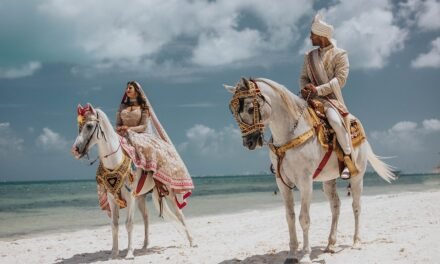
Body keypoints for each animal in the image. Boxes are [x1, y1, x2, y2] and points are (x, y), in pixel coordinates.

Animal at [72, 103, 192, 260]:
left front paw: (129, 253)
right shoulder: (112, 198)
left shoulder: (130, 197)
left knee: (180, 215)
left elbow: (129, 224)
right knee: (146, 217)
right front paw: (114, 254)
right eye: (79, 126)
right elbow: (114, 225)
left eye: (89, 126)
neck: (114, 161)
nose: (75, 150)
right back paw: (145, 245)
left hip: (170, 193)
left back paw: (192, 242)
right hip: (142, 197)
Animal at [225, 78, 394, 264]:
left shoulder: (305, 181)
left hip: (357, 177)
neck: (290, 133)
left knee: (356, 206)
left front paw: (305, 255)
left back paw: (356, 241)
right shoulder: (282, 183)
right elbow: (290, 217)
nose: (249, 142)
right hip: (328, 181)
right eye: (233, 112)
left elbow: (304, 218)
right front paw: (292, 254)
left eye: (250, 108)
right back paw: (330, 244)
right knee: (336, 206)